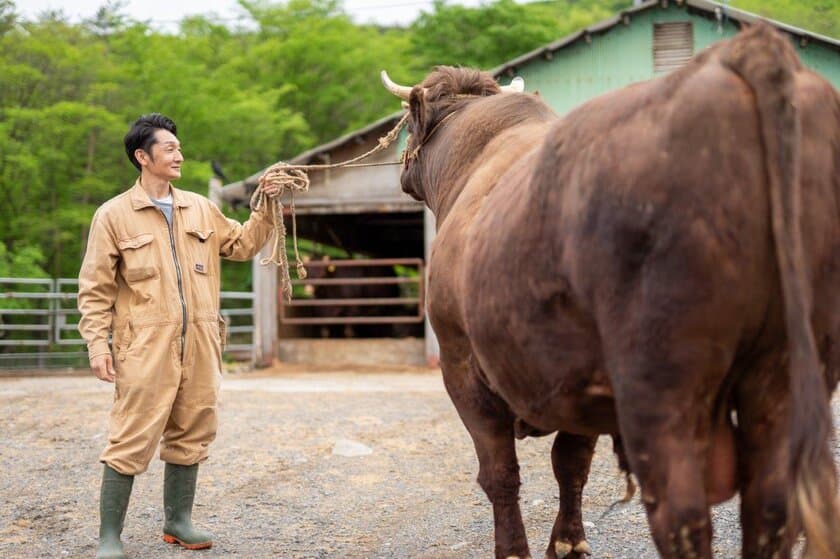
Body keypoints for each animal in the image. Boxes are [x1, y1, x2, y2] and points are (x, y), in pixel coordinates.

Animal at [382, 23, 840, 559]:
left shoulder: (461, 365)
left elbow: (500, 474)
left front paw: (516, 549)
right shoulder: (577, 380)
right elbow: (571, 463)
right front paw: (568, 541)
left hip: (661, 383)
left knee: (682, 514)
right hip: (783, 374)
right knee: (771, 508)